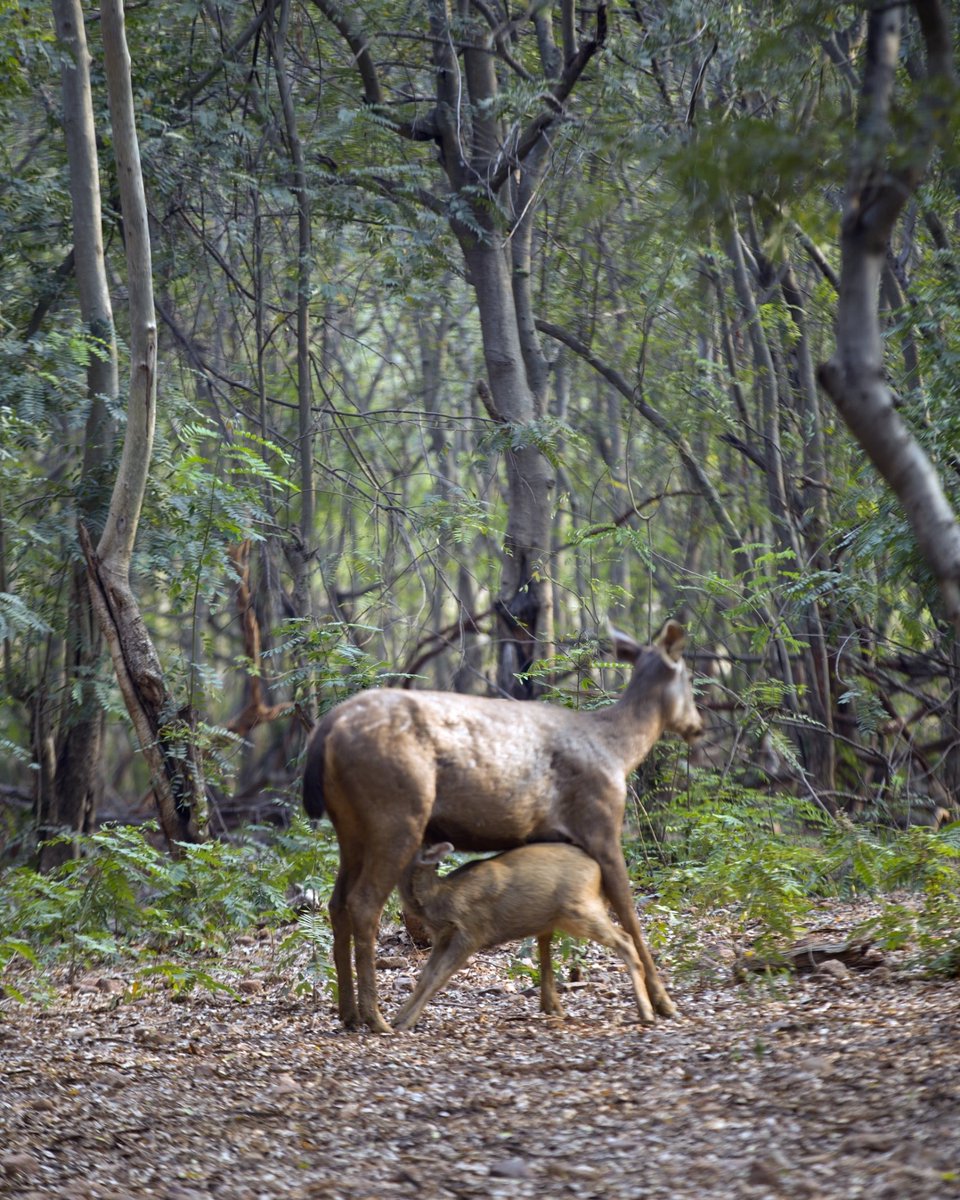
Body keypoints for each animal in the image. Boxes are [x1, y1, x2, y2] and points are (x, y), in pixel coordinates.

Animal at [303, 619, 700, 1032]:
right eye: (688, 676)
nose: (697, 726)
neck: (618, 752)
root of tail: (326, 729)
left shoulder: (546, 836)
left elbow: (545, 927)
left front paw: (551, 1002)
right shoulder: (602, 823)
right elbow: (630, 914)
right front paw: (664, 1003)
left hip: (350, 828)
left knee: (336, 902)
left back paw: (349, 1013)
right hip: (396, 814)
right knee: (364, 904)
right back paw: (375, 1016)